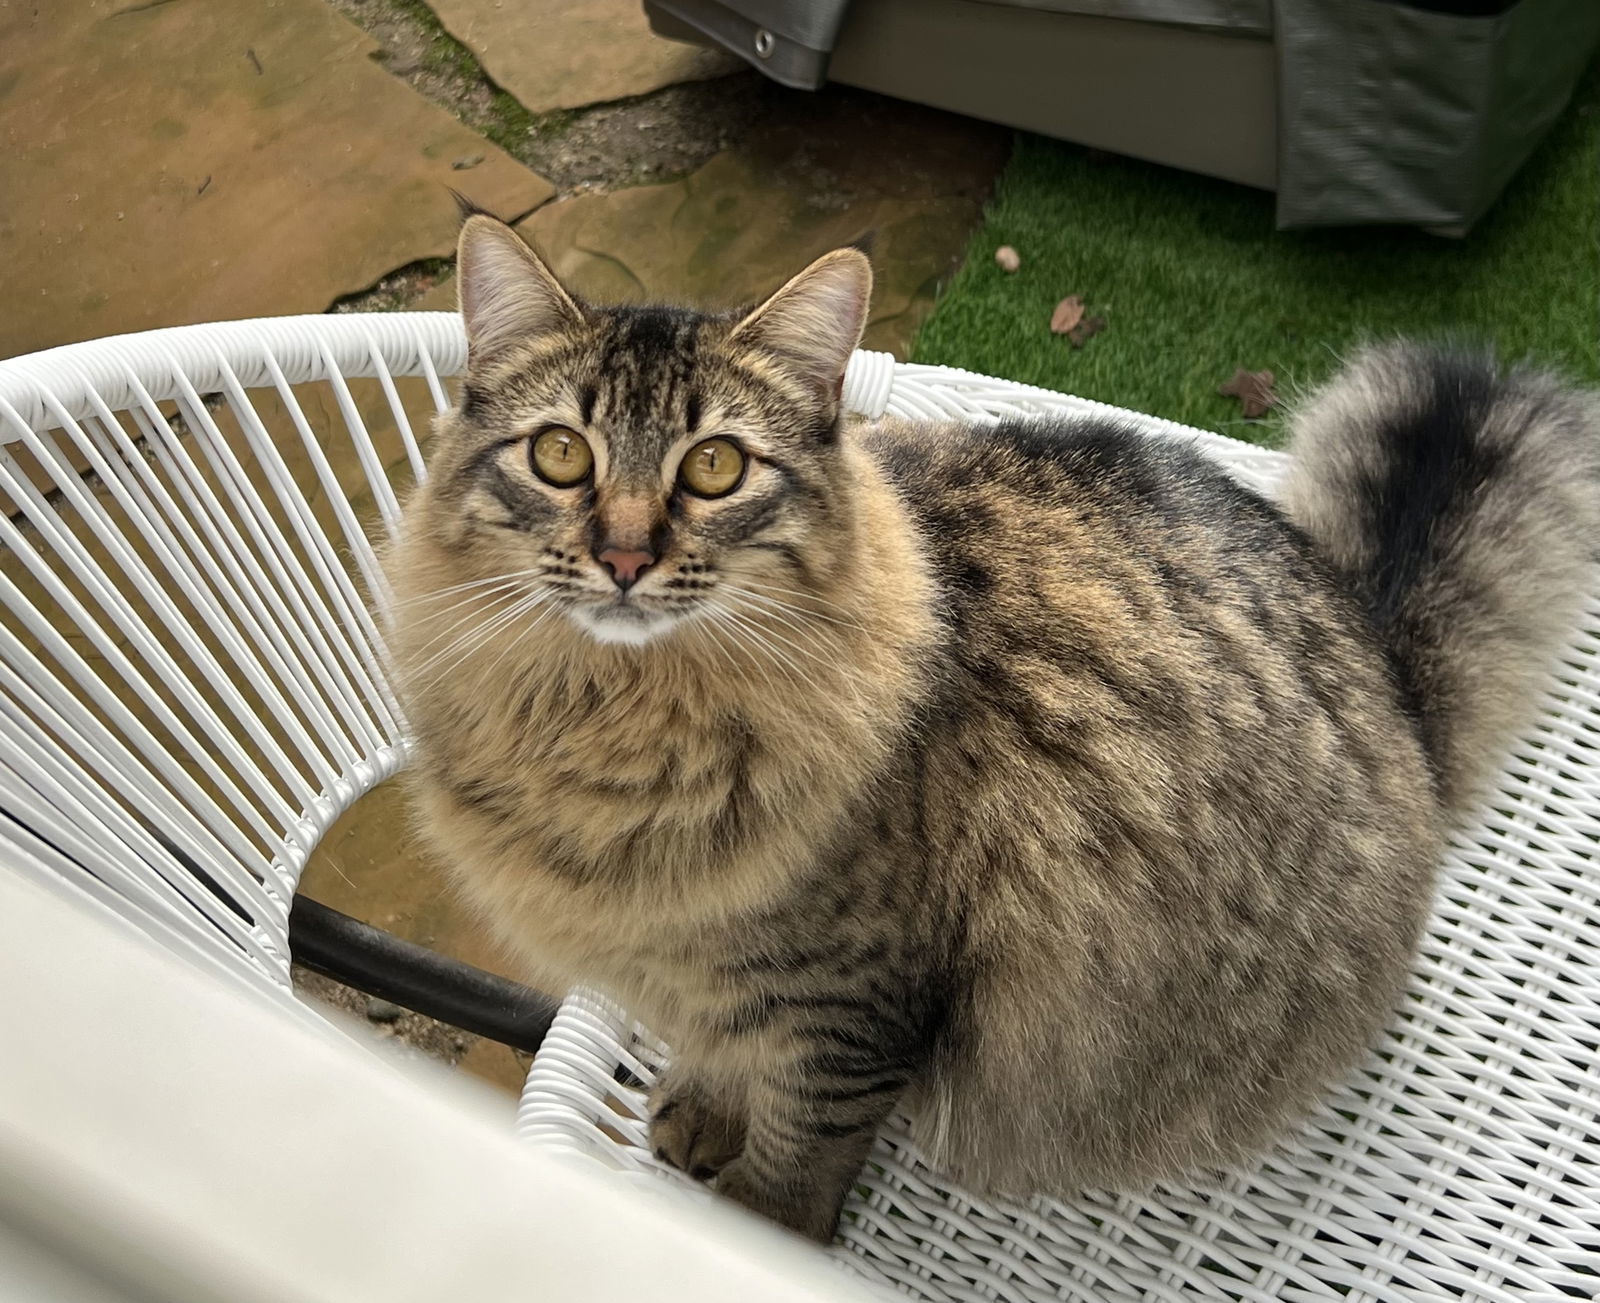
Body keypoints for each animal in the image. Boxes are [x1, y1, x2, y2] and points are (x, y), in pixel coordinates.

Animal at [387, 211, 1600, 1242]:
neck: (610, 719)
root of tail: (1380, 658)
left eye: (714, 467)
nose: (626, 557)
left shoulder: (854, 1002)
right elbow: (722, 1053)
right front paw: (699, 1111)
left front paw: (755, 1231)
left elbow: (798, 1152)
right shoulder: (697, 965)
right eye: (560, 455)